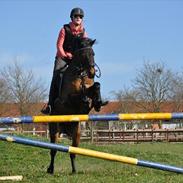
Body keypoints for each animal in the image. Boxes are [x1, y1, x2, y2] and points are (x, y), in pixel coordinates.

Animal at [46, 37, 105, 174]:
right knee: (53, 150)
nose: (92, 73)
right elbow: (77, 96)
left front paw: (98, 103)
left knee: (73, 152)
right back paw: (50, 169)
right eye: (83, 55)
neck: (80, 74)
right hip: (54, 130)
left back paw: (74, 170)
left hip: (76, 134)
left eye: (93, 54)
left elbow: (96, 86)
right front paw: (84, 98)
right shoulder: (65, 101)